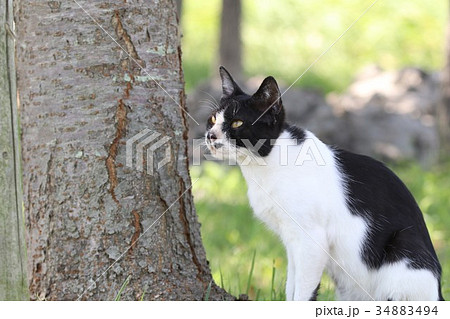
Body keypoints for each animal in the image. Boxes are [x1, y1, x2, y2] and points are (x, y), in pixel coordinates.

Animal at [206, 66, 444, 302]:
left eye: (237, 123)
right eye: (212, 119)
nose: (210, 135)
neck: (266, 163)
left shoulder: (312, 241)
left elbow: (303, 293)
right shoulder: (291, 241)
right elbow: (292, 286)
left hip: (403, 253)